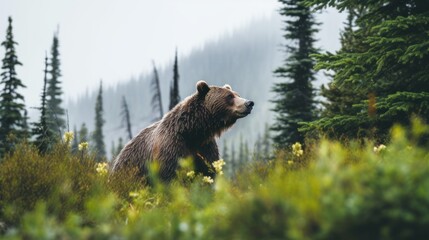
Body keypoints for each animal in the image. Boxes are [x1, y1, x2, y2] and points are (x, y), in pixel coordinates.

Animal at [111, 79, 254, 181]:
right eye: (229, 96)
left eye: (237, 94)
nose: (249, 103)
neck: (192, 132)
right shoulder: (171, 146)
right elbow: (170, 175)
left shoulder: (205, 146)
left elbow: (208, 171)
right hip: (131, 168)